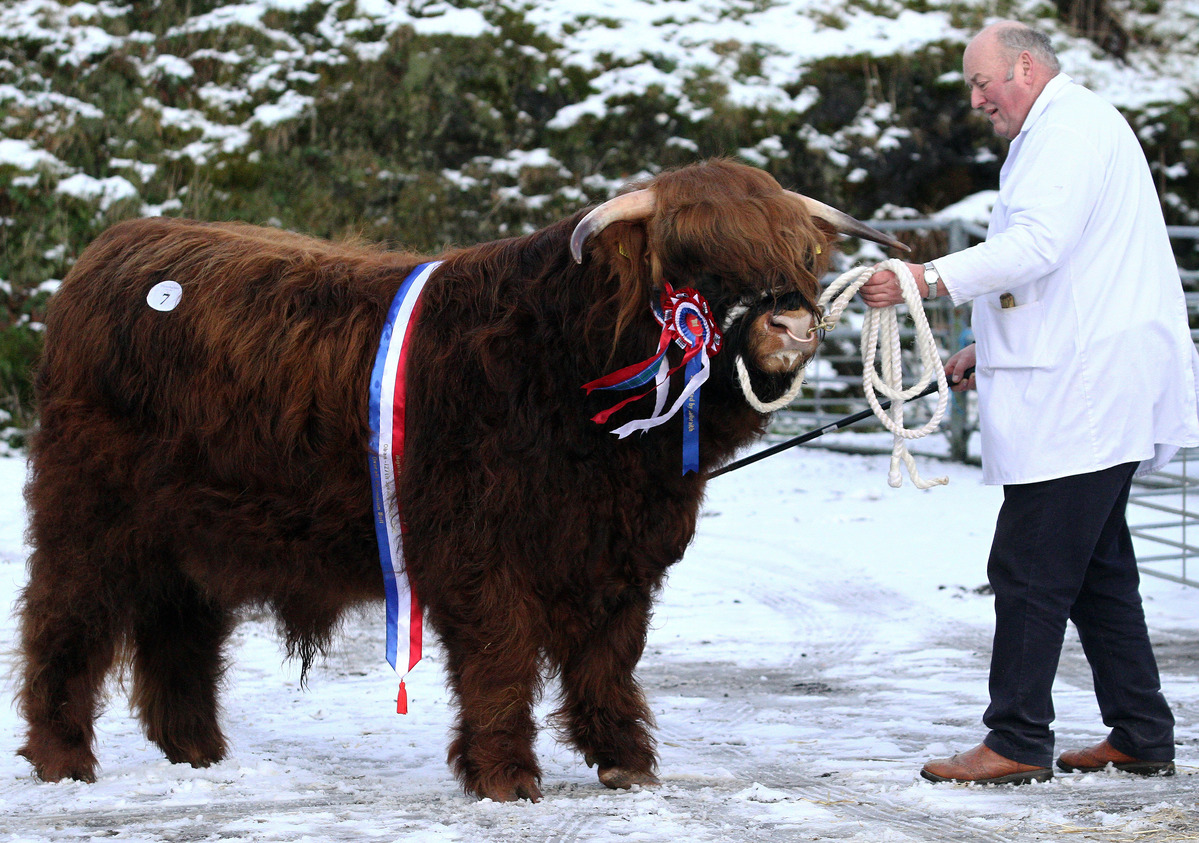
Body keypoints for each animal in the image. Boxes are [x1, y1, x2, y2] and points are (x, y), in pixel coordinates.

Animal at [18, 159, 901, 805]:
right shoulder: (479, 553)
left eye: (798, 253)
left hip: (193, 534)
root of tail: (111, 248)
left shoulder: (619, 555)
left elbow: (607, 657)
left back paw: (198, 752)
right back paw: (63, 758)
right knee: (65, 623)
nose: (790, 323)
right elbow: (500, 660)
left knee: (181, 633)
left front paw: (623, 759)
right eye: (696, 256)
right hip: (88, 516)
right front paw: (505, 775)